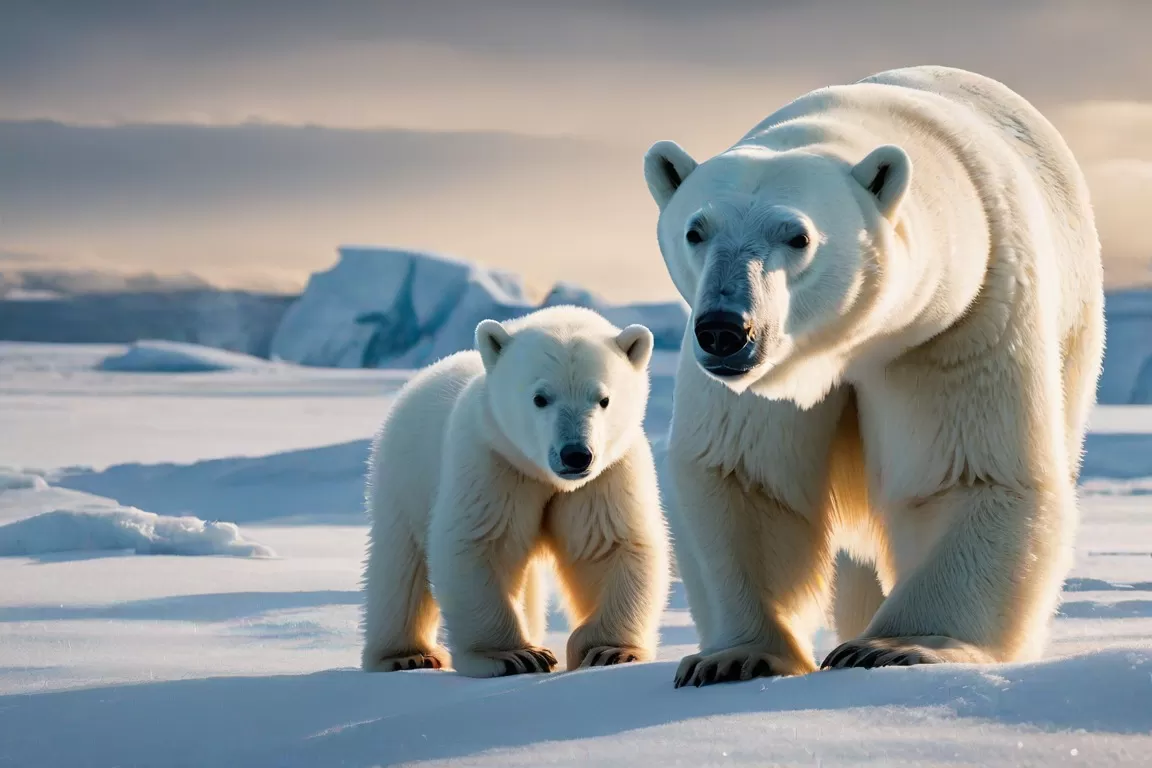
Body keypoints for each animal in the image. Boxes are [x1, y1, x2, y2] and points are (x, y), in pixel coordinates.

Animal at [357, 306, 668, 677]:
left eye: (604, 398)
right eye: (540, 398)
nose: (576, 454)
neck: (545, 476)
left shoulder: (605, 475)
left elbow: (610, 544)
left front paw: (610, 652)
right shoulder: (493, 463)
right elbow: (479, 544)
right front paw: (514, 655)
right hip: (404, 477)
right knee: (400, 566)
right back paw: (406, 656)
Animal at [645, 66, 1101, 686]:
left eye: (798, 236)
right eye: (696, 230)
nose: (724, 329)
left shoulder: (959, 323)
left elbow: (969, 473)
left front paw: (892, 646)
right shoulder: (762, 381)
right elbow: (747, 475)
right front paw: (734, 657)